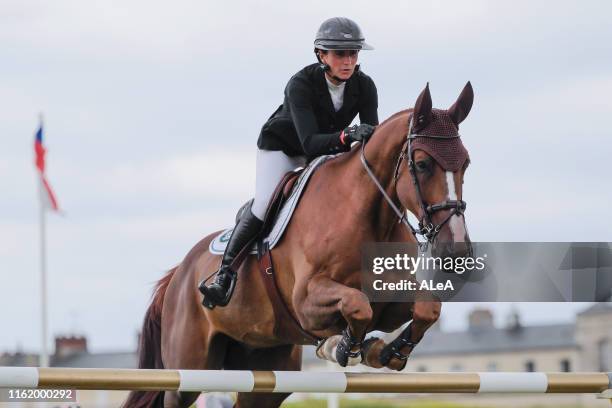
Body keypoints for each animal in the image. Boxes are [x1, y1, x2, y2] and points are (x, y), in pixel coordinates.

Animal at [123, 83, 474, 408]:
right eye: (423, 164)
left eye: (466, 164)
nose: (455, 250)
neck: (368, 216)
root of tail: (179, 273)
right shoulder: (307, 300)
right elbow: (357, 304)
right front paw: (343, 346)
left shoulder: (391, 300)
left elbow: (427, 308)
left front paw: (386, 351)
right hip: (189, 370)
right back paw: (218, 286)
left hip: (265, 364)